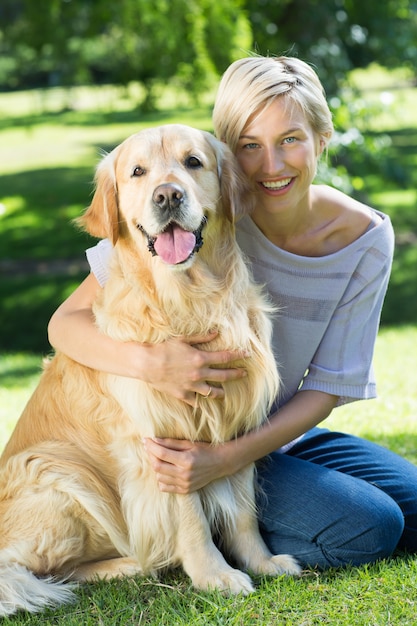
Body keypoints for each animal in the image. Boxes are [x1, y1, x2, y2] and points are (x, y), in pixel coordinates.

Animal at [0, 123, 300, 616]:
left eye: (193, 162)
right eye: (138, 172)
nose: (168, 195)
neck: (188, 300)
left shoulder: (236, 419)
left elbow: (243, 511)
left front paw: (262, 561)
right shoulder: (159, 441)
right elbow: (191, 518)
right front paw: (214, 575)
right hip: (58, 473)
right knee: (30, 570)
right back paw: (130, 564)